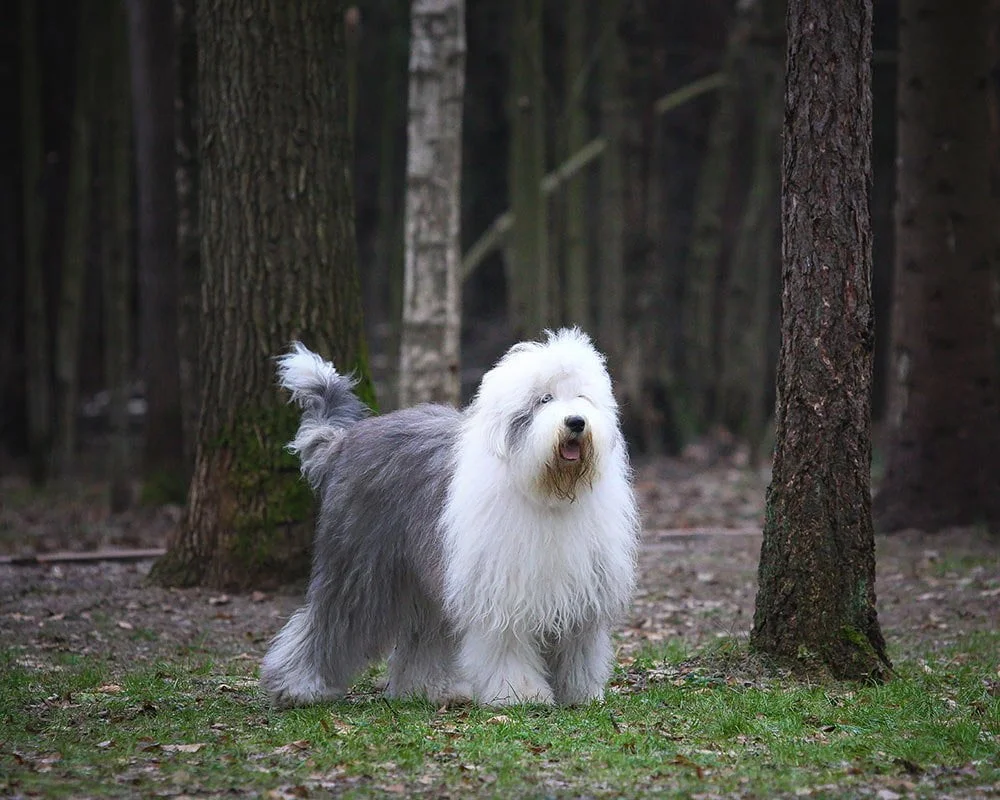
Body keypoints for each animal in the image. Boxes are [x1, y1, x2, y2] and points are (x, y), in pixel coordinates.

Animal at [260, 328, 640, 708]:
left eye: (581, 397)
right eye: (544, 399)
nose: (576, 422)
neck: (545, 491)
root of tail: (345, 440)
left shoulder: (580, 591)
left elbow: (578, 647)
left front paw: (581, 694)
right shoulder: (502, 591)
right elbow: (508, 645)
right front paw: (520, 694)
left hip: (425, 575)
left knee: (423, 635)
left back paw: (429, 689)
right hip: (360, 566)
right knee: (329, 621)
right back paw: (299, 687)